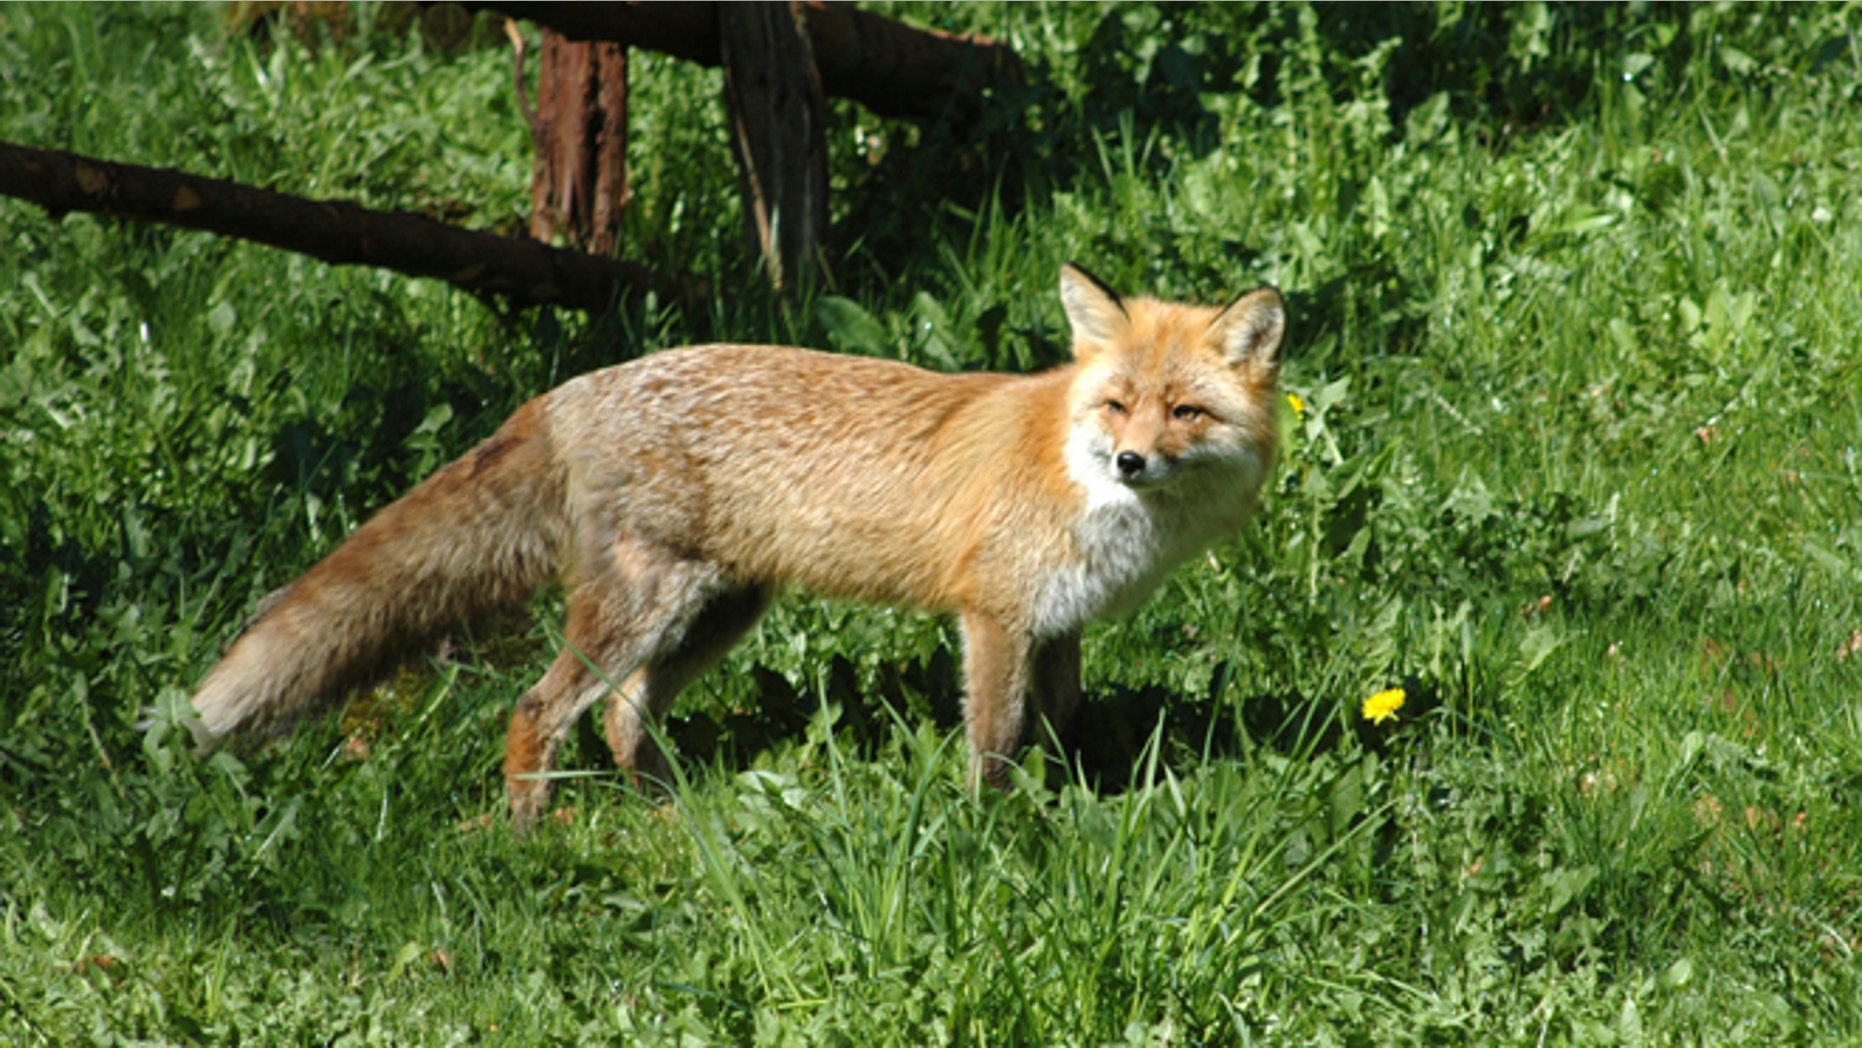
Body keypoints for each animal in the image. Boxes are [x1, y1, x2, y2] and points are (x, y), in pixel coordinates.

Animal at [192, 264, 1295, 830]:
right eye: (1116, 404)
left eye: (1184, 412)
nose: (1130, 460)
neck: (1073, 472)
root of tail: (577, 385)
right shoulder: (992, 617)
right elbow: (992, 742)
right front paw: (991, 834)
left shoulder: (1056, 624)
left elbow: (1058, 728)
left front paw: (1063, 803)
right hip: (644, 610)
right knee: (538, 710)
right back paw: (532, 835)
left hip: (714, 613)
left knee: (623, 716)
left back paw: (668, 812)